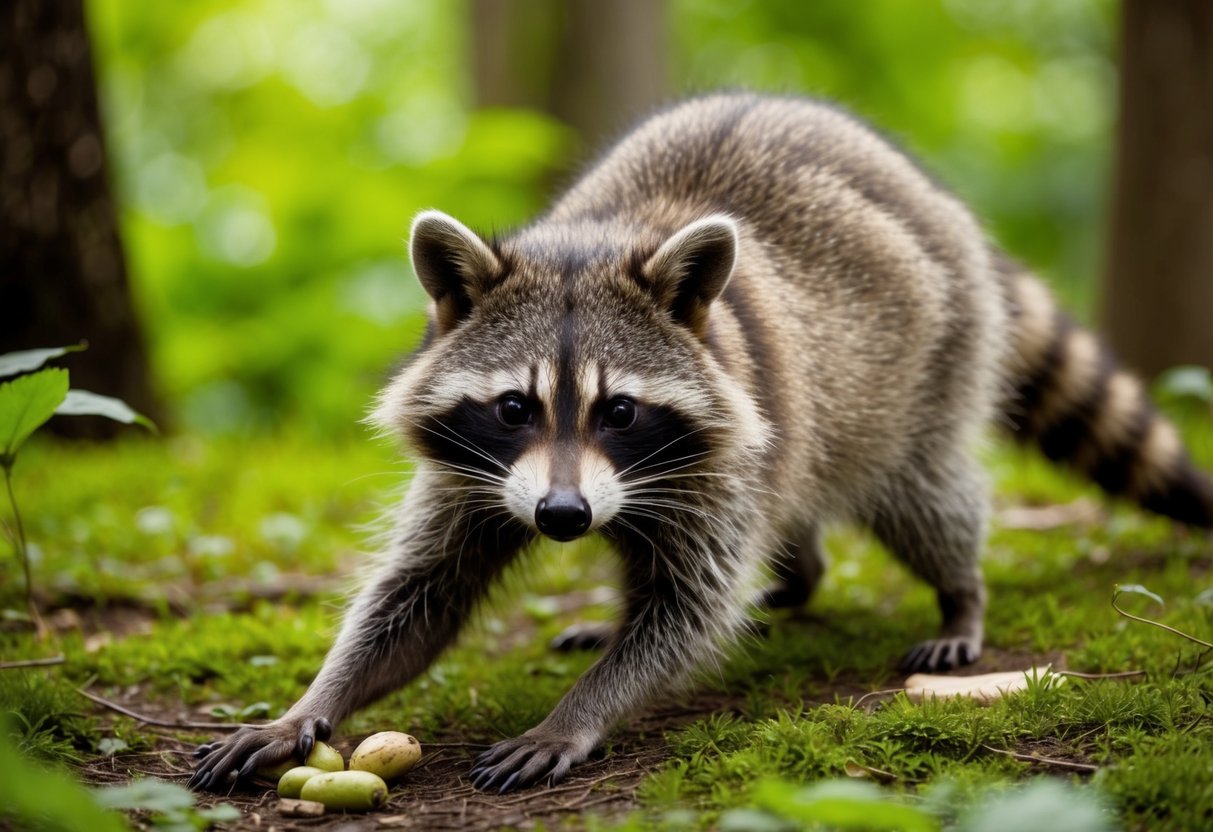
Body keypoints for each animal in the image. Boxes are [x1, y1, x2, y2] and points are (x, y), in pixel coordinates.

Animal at [191, 92, 1213, 793]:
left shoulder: (718, 452)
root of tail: (924, 187)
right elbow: (418, 595)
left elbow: (688, 610)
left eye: (619, 412)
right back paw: (782, 579)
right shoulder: (474, 469)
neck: (590, 241)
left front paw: (581, 710)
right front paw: (313, 703)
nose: (562, 515)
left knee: (921, 494)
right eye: (515, 406)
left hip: (930, 361)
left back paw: (958, 594)